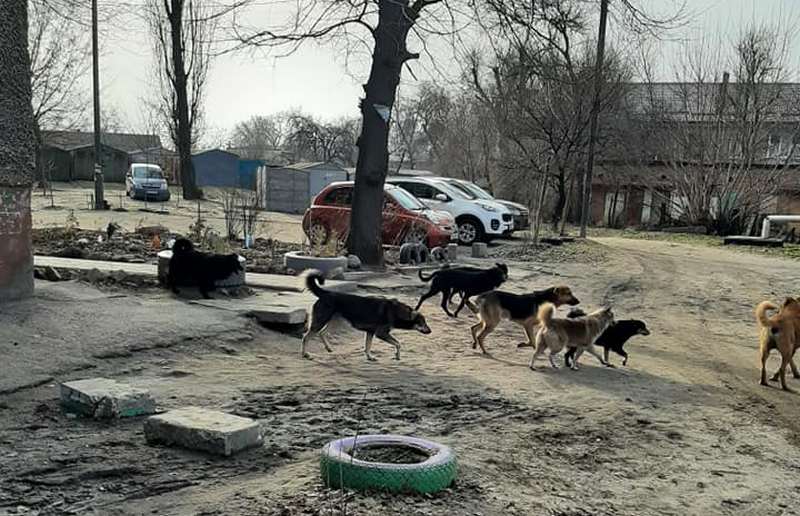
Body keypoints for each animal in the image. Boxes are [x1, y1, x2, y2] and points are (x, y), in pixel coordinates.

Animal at [302, 268, 432, 360]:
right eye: (422, 322)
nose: (430, 331)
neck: (396, 311)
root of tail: (325, 293)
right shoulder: (381, 333)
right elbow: (398, 343)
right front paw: (397, 355)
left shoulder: (370, 332)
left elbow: (368, 347)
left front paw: (370, 357)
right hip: (321, 321)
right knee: (306, 337)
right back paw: (305, 354)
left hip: (333, 320)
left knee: (321, 333)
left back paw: (328, 348)